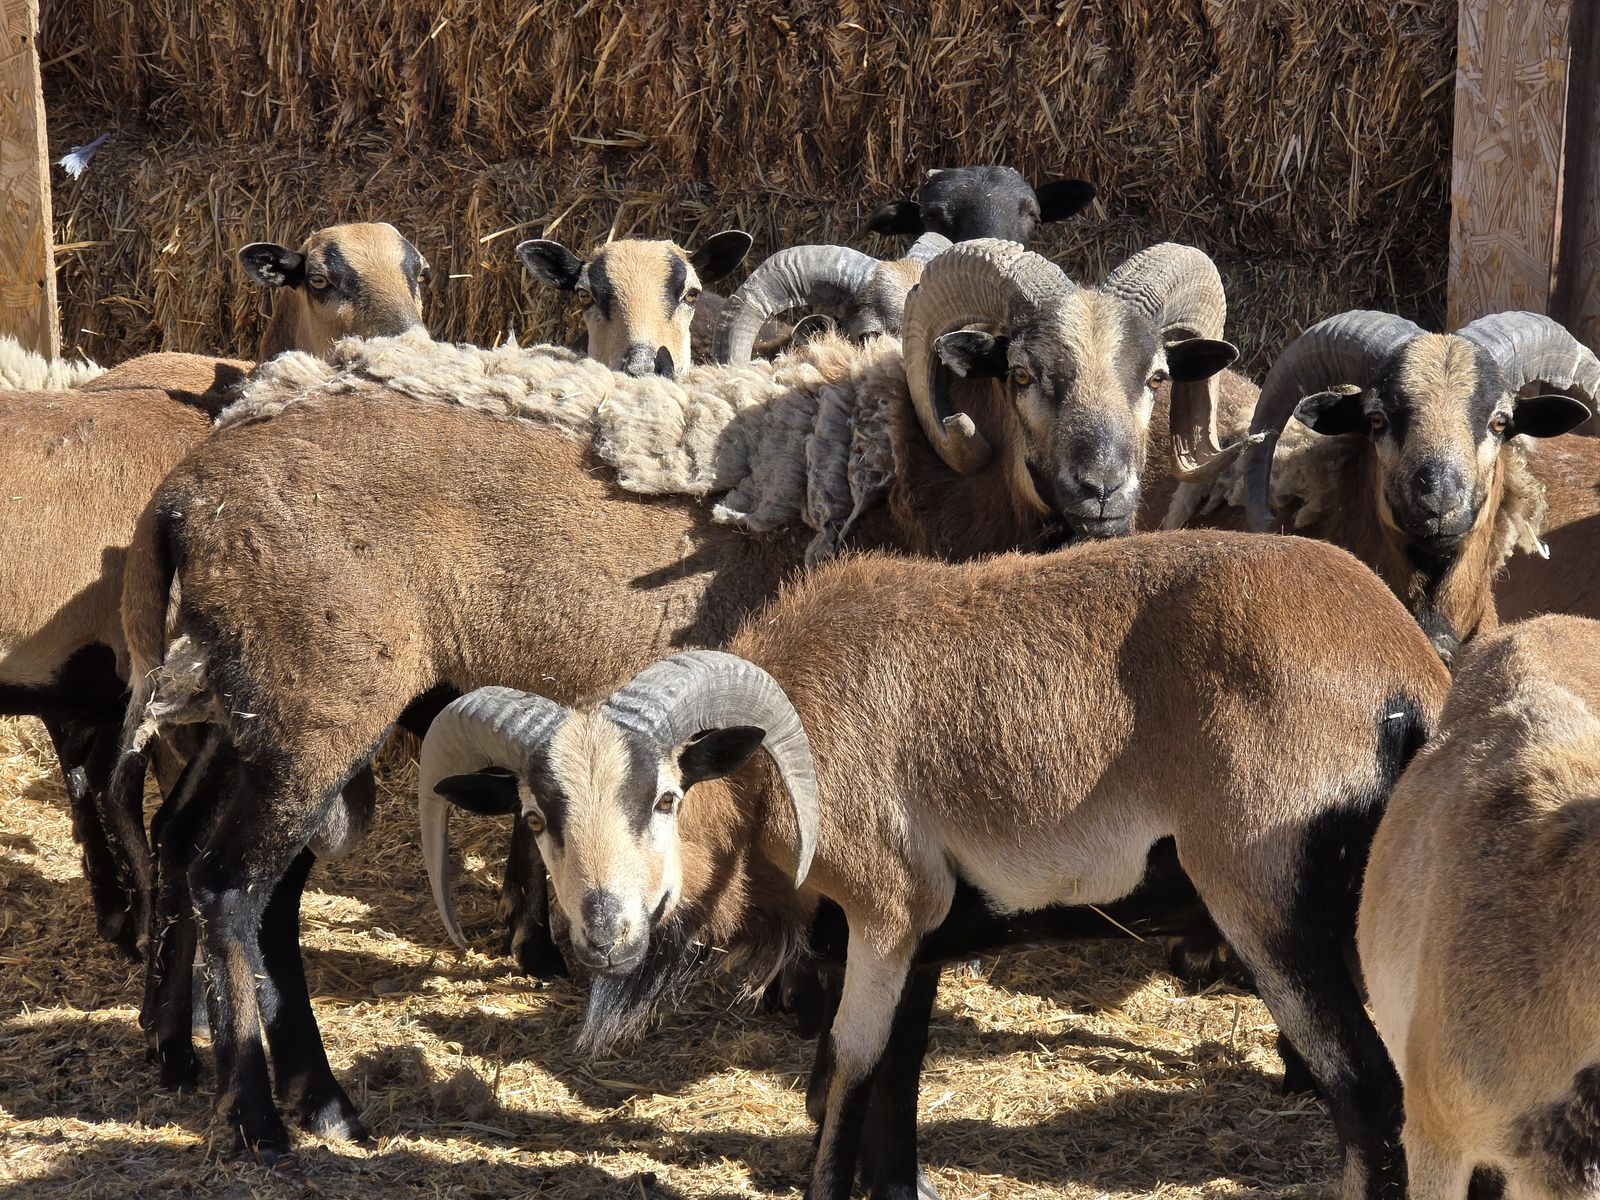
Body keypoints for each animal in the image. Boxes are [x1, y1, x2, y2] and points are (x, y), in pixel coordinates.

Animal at [420, 529, 1451, 1200]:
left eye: (668, 795)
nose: (605, 934)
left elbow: (849, 1071)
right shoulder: (918, 938)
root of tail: (1411, 680)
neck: (788, 756)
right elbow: (895, 1089)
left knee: (1368, 1095)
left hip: (1268, 906)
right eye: (536, 815)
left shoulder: (885, 916)